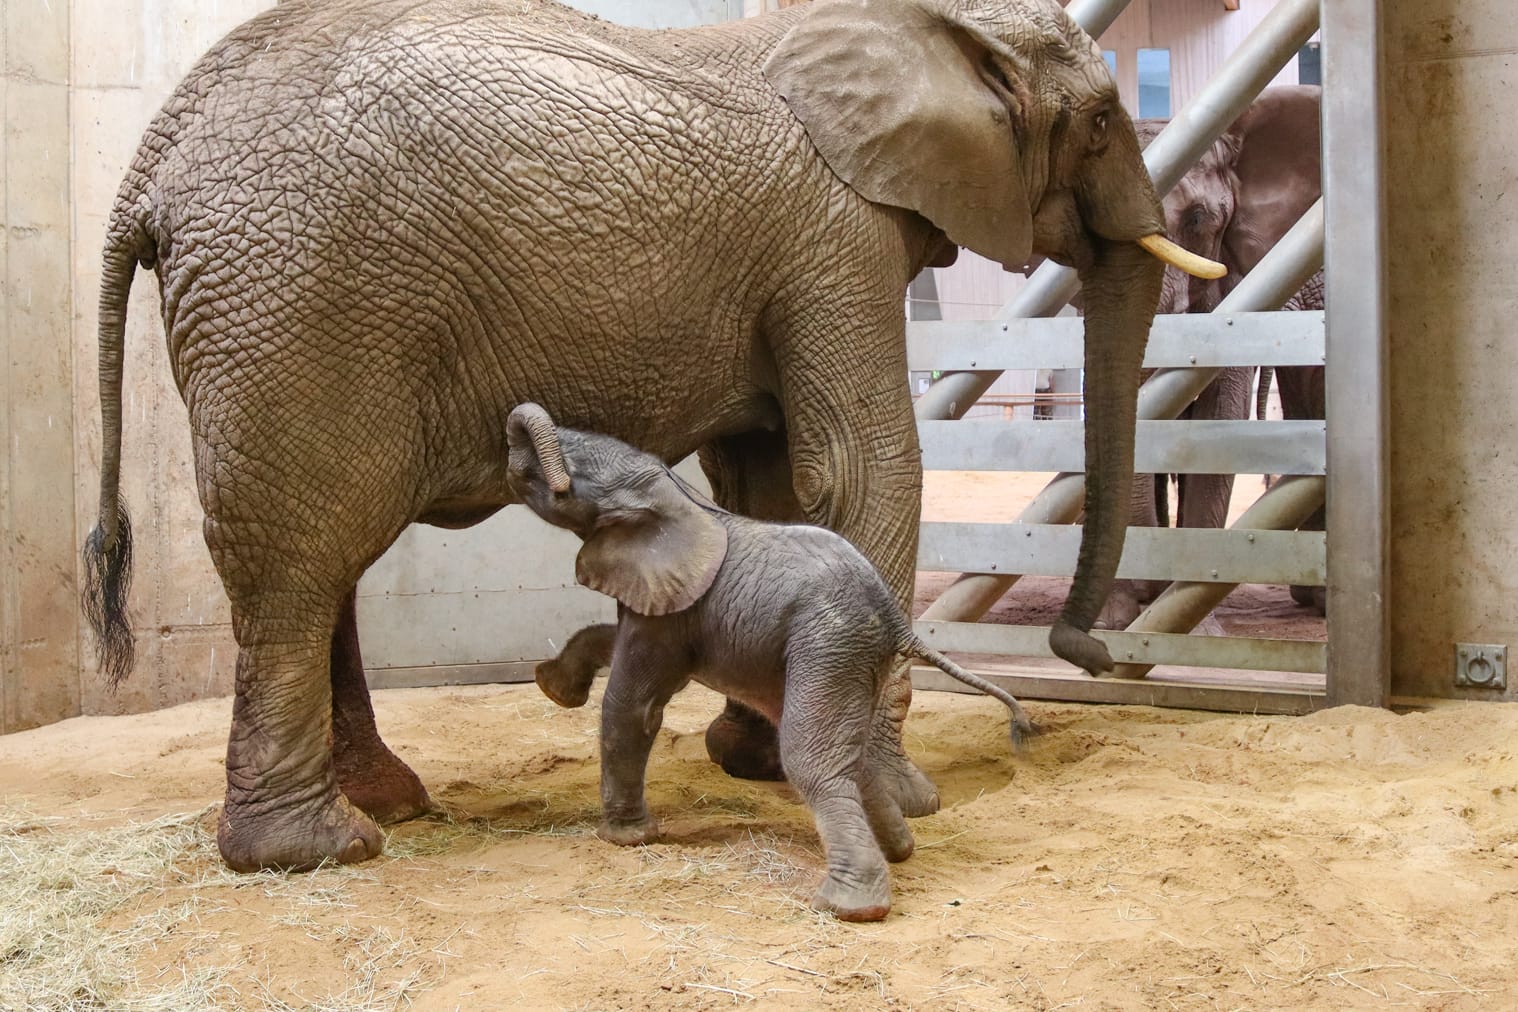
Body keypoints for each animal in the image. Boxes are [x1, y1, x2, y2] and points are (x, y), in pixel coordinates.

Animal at [503, 400, 1038, 916]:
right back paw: (899, 852)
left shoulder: (676, 601)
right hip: (851, 655)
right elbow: (615, 644)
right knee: (850, 756)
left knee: (811, 759)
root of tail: (892, 613)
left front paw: (626, 839)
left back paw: (848, 907)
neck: (675, 495)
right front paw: (553, 686)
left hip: (829, 642)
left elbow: (632, 706)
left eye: (575, 475)